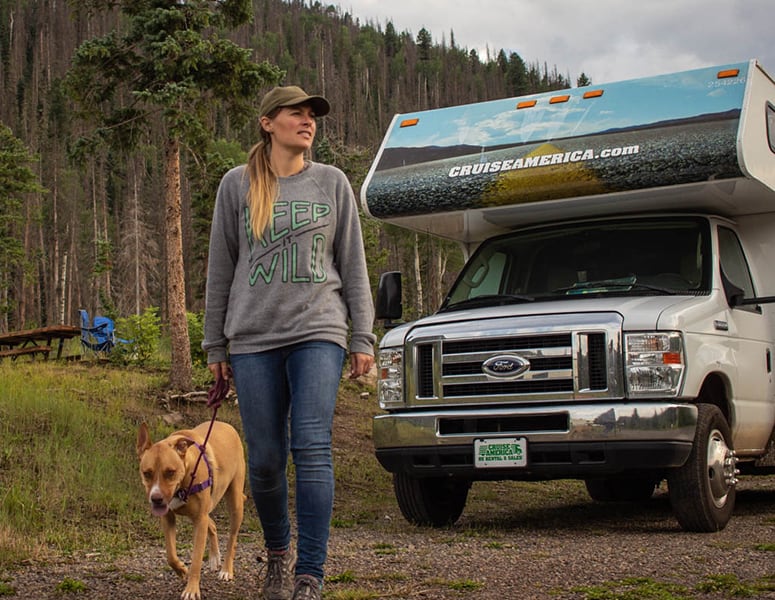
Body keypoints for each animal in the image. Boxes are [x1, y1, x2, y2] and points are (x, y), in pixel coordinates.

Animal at [136, 422, 246, 600]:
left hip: (235, 502)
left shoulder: (199, 520)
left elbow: (196, 560)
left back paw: (226, 569)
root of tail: (227, 425)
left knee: (232, 538)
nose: (156, 499)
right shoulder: (168, 518)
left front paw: (192, 589)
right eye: (147, 473)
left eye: (170, 472)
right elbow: (170, 555)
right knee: (212, 524)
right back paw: (214, 557)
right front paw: (181, 570)